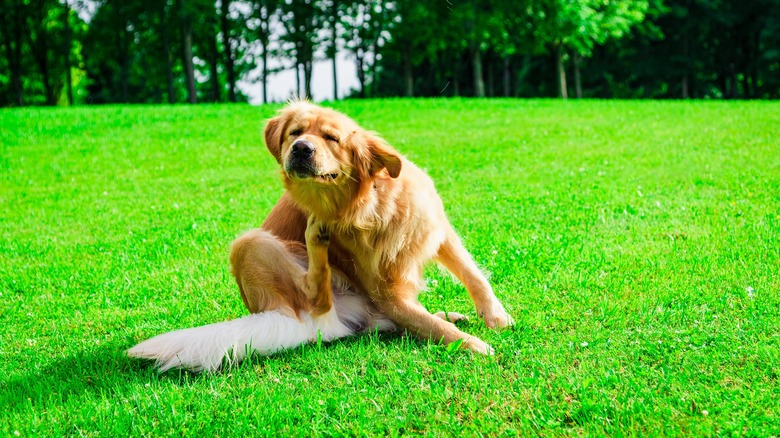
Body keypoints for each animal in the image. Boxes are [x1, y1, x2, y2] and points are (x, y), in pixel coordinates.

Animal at [129, 101, 512, 372]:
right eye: (294, 132)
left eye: (331, 138)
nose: (301, 148)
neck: (369, 206)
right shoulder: (384, 292)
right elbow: (429, 325)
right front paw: (473, 345)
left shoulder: (437, 229)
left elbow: (473, 276)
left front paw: (495, 318)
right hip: (249, 244)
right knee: (319, 300)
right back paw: (316, 238)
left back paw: (450, 314)